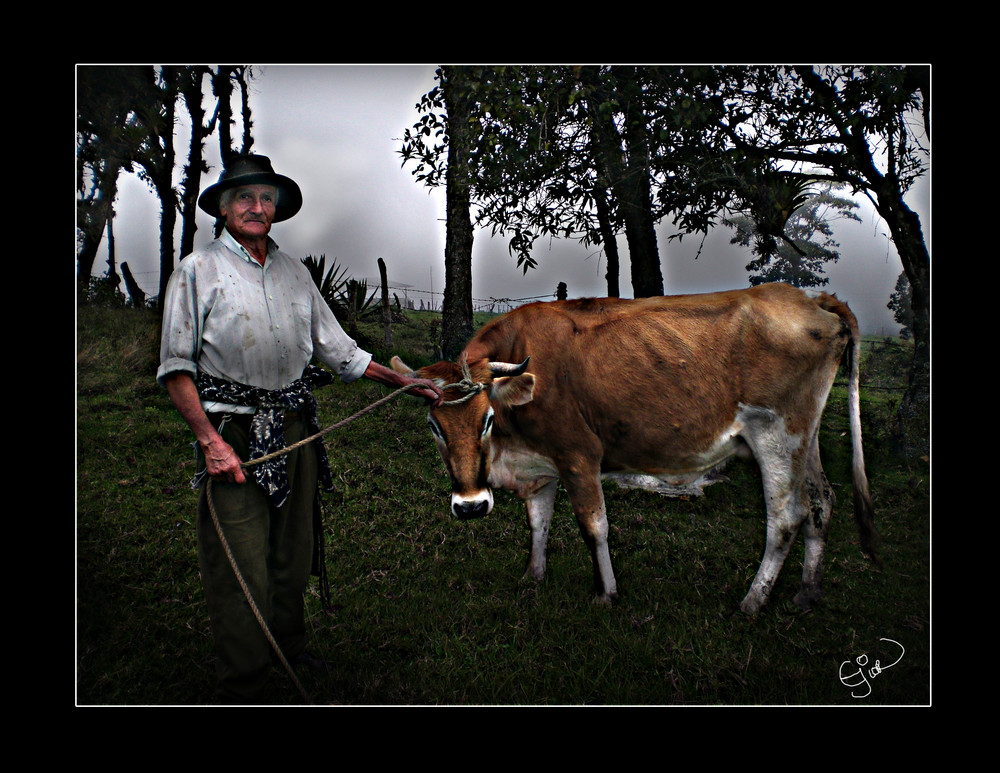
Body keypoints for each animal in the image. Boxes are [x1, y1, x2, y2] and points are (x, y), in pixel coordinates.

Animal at [394, 280, 880, 612]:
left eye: (488, 419)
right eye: (434, 426)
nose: (470, 506)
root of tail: (808, 298)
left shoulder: (578, 455)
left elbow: (594, 527)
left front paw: (605, 594)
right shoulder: (540, 463)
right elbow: (538, 523)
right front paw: (533, 576)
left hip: (777, 434)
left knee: (786, 517)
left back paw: (752, 603)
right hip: (805, 439)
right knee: (821, 502)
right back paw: (806, 593)